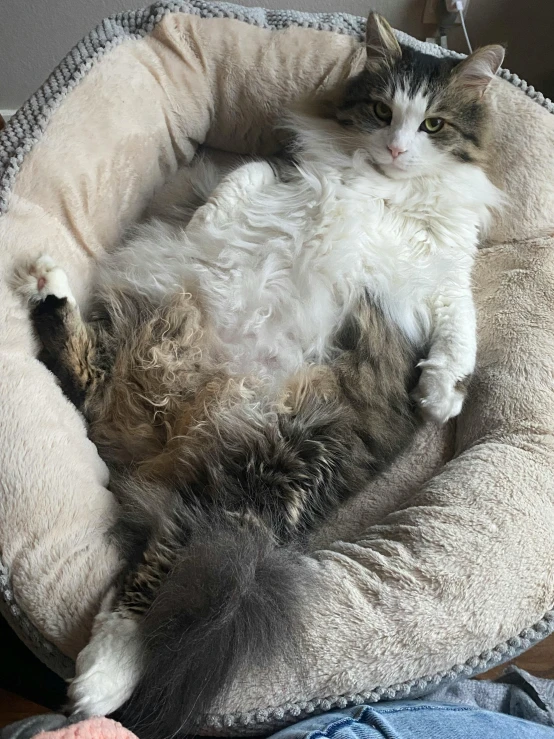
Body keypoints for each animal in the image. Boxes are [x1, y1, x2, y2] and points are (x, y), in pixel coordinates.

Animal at [17, 14, 500, 739]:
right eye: (381, 112)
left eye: (434, 124)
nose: (394, 149)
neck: (385, 189)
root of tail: (166, 432)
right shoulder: (288, 165)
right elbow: (240, 178)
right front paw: (204, 220)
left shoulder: (439, 277)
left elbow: (459, 325)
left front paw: (440, 393)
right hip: (150, 336)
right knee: (85, 381)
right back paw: (48, 282)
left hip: (259, 475)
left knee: (154, 574)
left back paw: (98, 686)